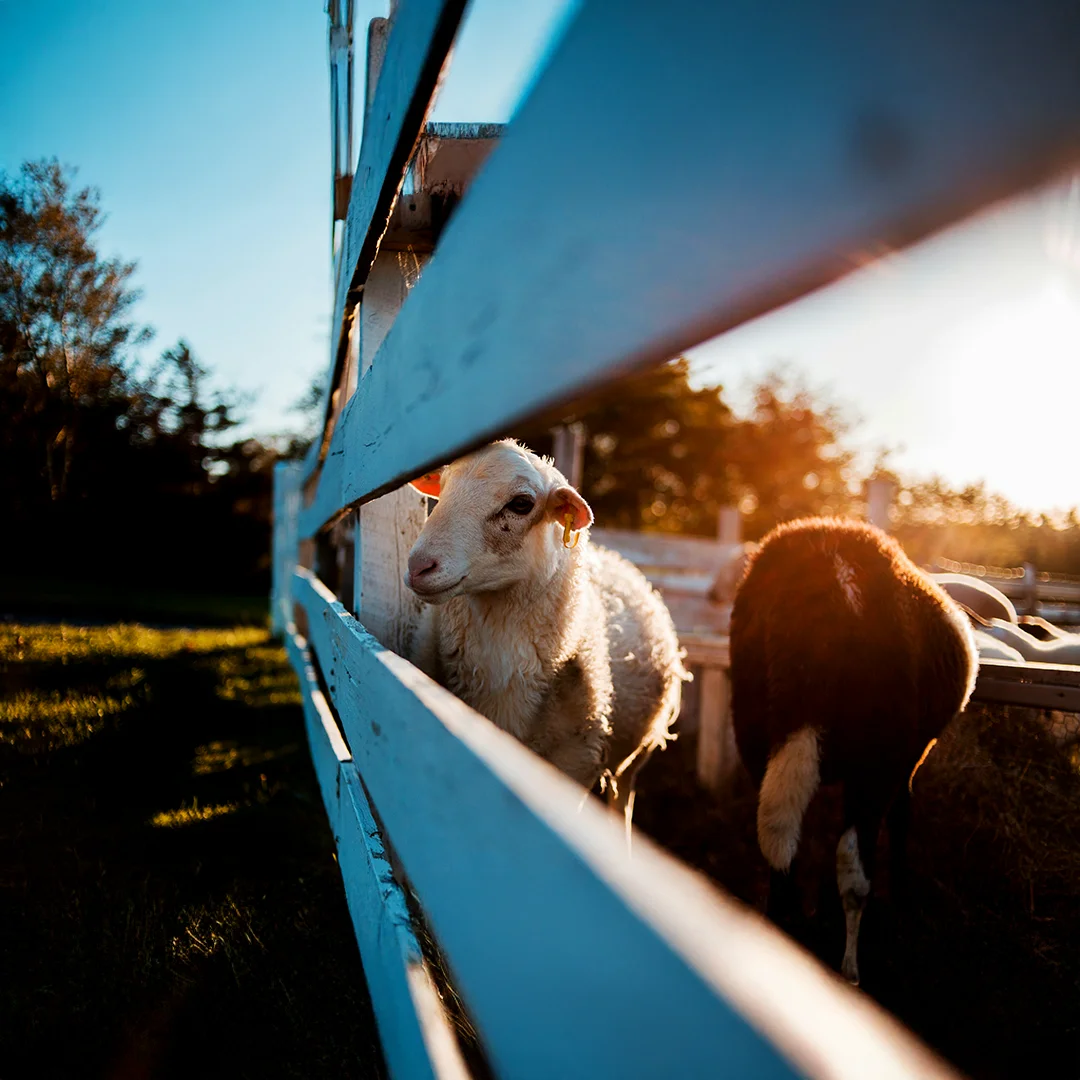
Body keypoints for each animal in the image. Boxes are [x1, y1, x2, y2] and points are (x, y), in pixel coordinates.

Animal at [403, 440, 687, 836]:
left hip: (636, 753)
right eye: (442, 488)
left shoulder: (575, 762)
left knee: (622, 798)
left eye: (521, 504)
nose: (418, 567)